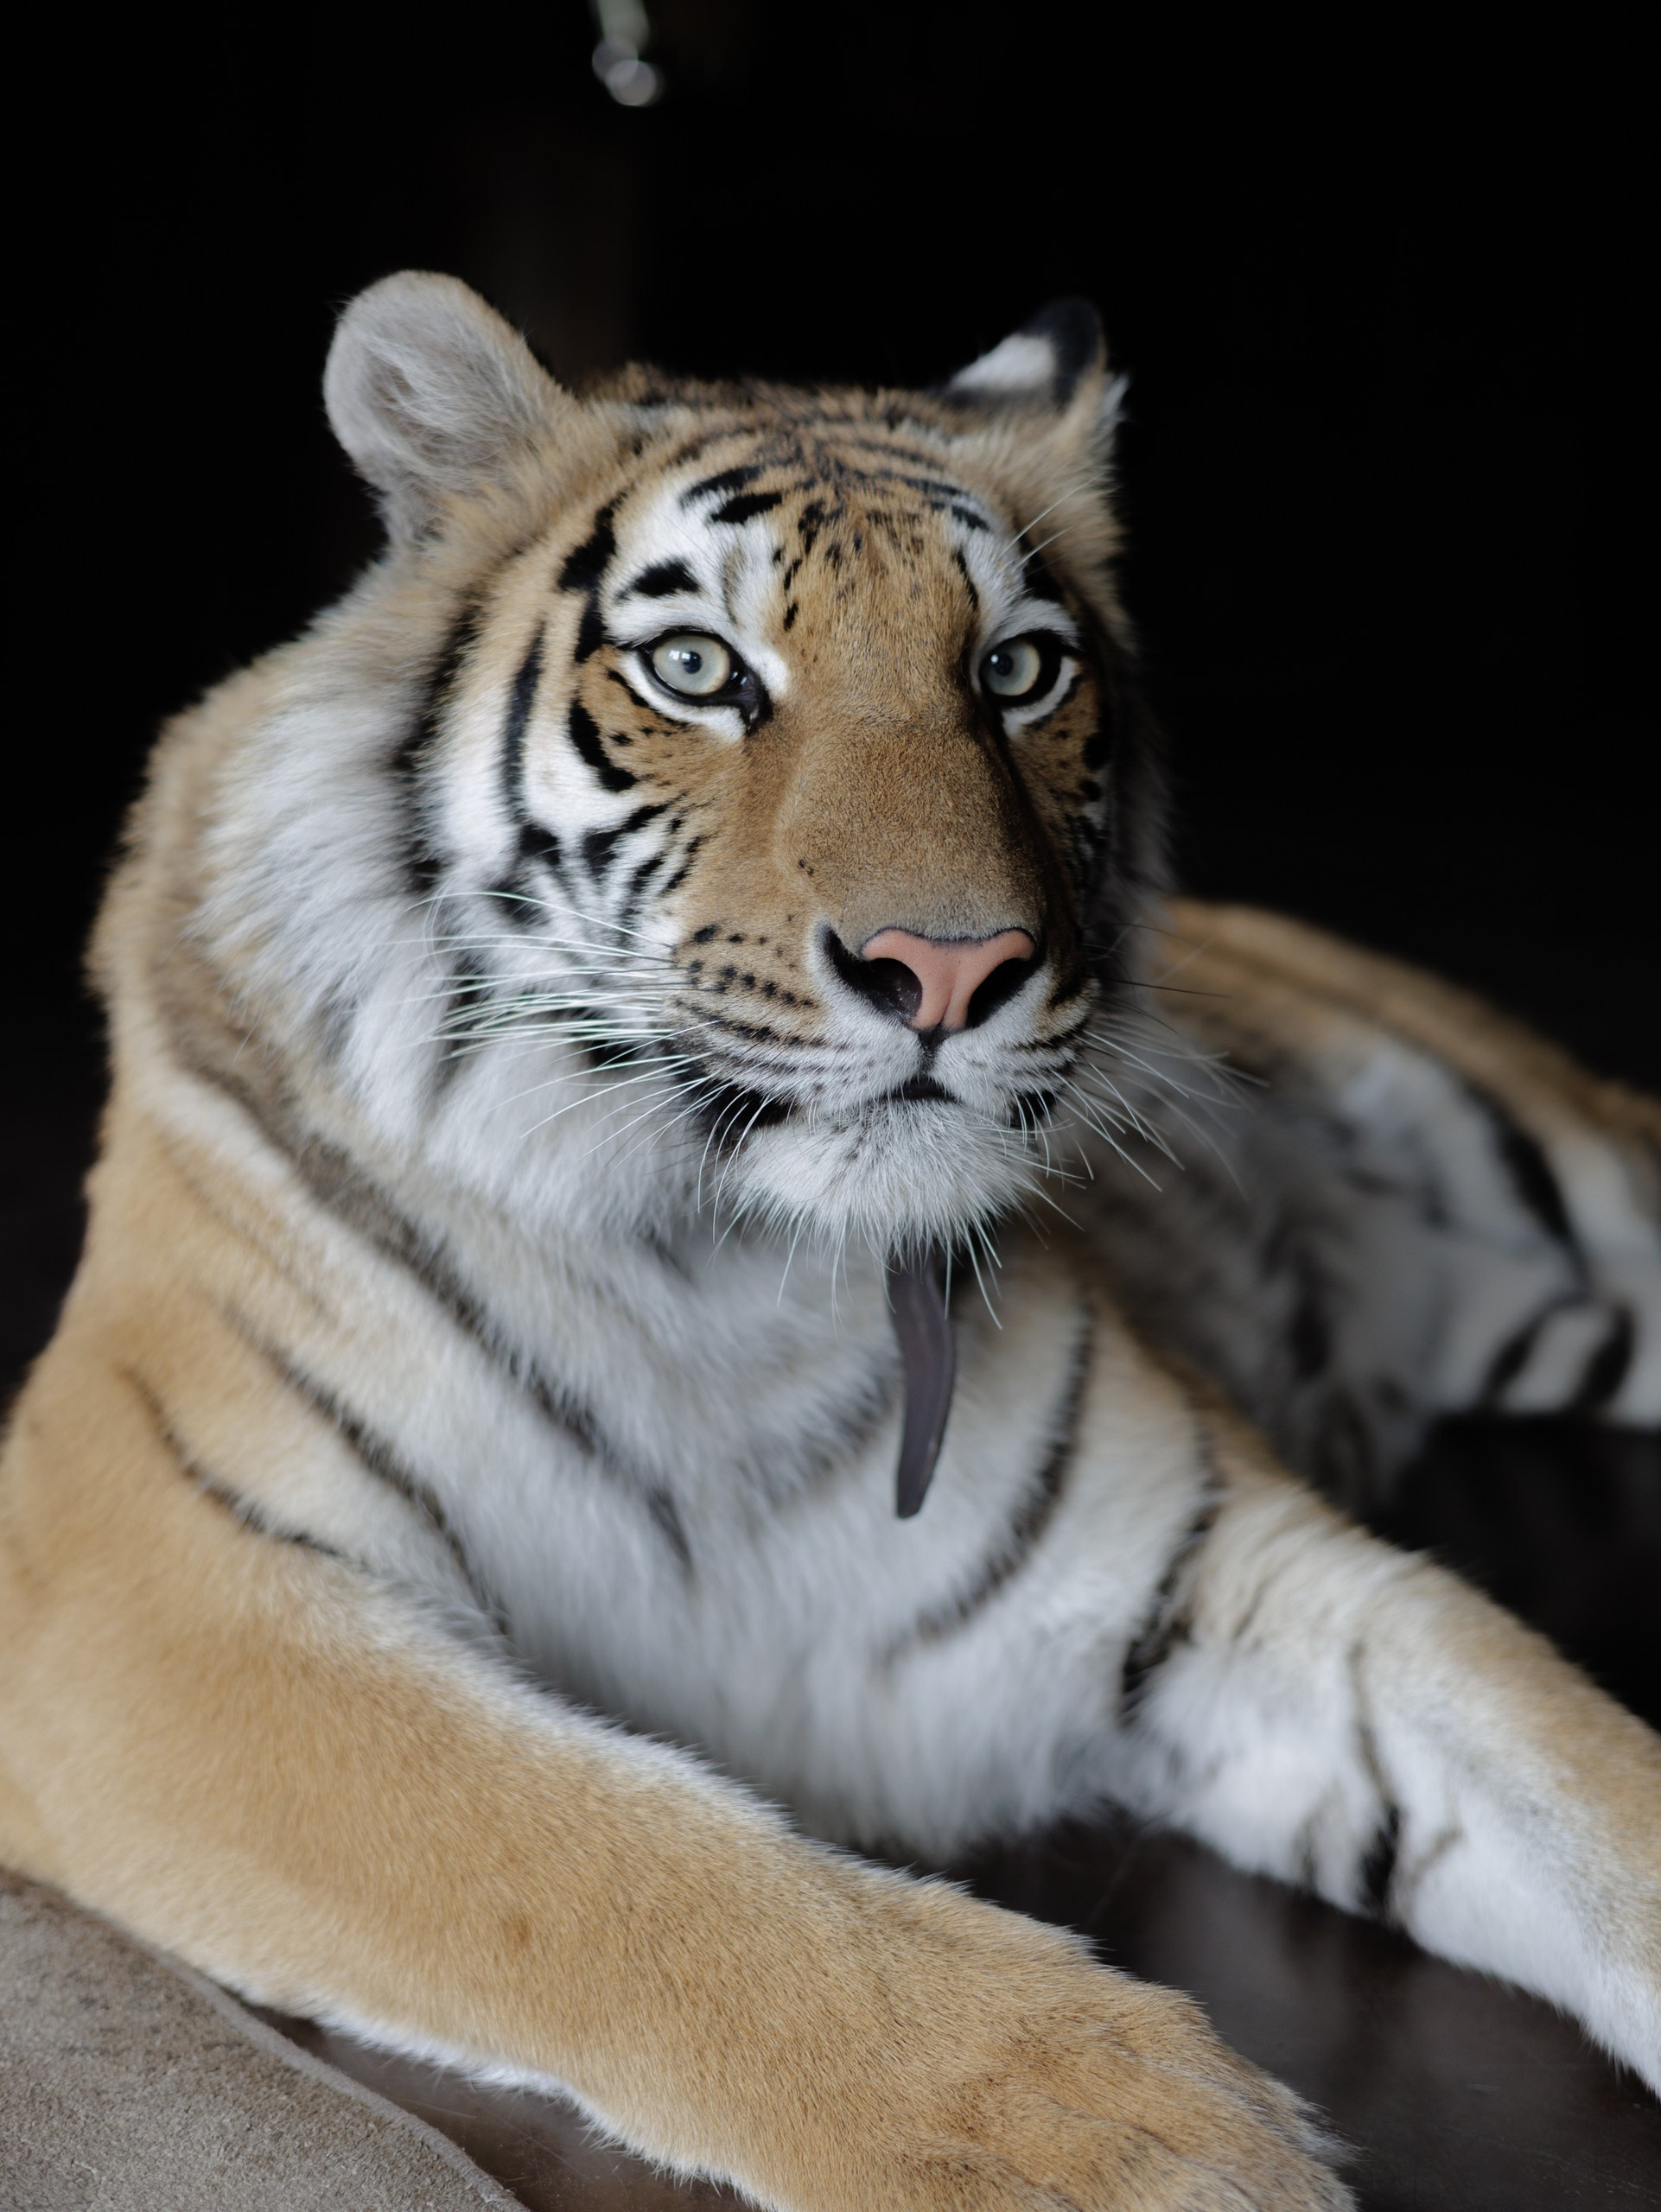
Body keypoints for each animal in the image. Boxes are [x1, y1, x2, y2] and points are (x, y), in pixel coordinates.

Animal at [1, 270, 1657, 2212]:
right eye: (698, 670)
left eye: (1014, 668)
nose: (950, 965)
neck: (724, 1261)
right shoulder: (150, 1590)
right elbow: (604, 1855)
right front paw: (1131, 2135)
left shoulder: (1235, 1565)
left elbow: (1587, 1789)